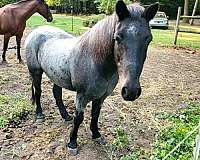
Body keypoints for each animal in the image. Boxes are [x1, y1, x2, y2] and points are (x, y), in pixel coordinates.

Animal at [25, 0, 159, 155]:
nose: (131, 91)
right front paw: (72, 144)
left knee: (57, 93)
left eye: (148, 39)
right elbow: (79, 118)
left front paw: (96, 135)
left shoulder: (101, 97)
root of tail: (37, 30)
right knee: (38, 92)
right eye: (118, 37)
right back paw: (40, 115)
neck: (95, 61)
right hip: (36, 72)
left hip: (56, 75)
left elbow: (95, 115)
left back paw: (65, 116)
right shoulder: (81, 96)